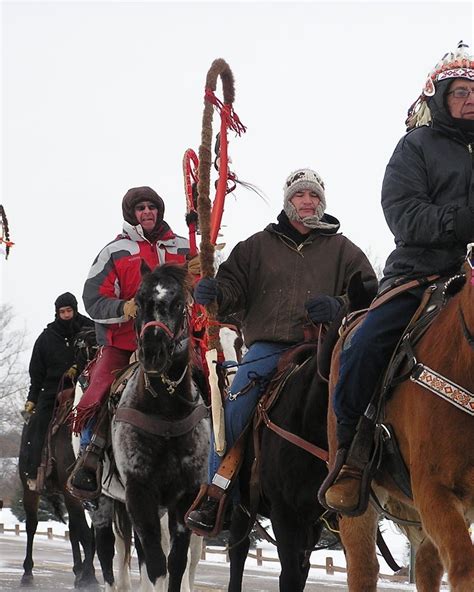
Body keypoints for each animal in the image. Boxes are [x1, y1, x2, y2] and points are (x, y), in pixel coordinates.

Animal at [18, 328, 99, 588]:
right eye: (84, 345)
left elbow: (88, 533)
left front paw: (86, 575)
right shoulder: (69, 488)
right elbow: (85, 533)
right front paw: (89, 578)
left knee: (73, 529)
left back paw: (77, 569)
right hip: (30, 488)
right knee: (32, 525)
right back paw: (27, 573)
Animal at [111, 264, 209, 592]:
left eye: (178, 304)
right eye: (139, 302)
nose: (152, 352)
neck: (165, 416)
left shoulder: (185, 497)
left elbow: (176, 564)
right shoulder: (139, 494)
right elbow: (156, 565)